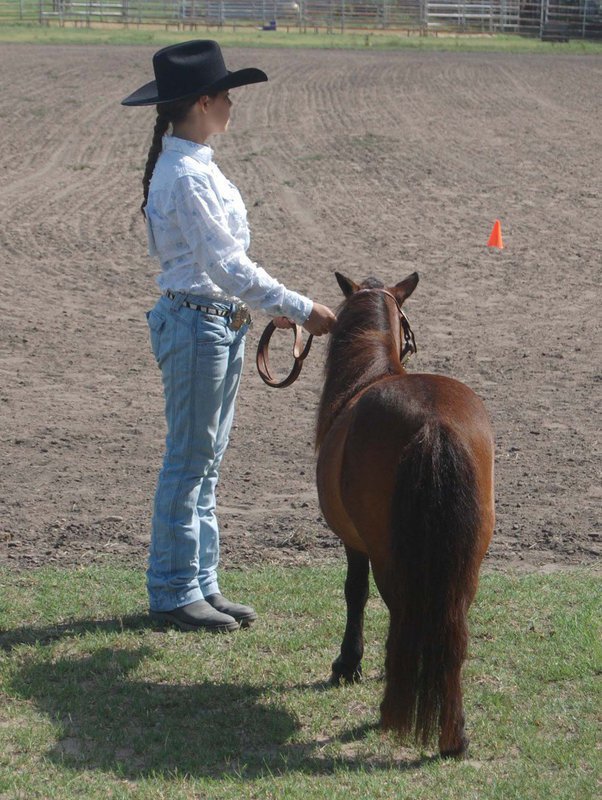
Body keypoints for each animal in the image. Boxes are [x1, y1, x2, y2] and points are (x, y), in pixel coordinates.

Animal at [315, 271, 495, 758]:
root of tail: (434, 423)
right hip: (467, 559)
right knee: (451, 627)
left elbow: (354, 593)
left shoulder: (354, 543)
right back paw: (453, 734)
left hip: (390, 557)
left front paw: (348, 663)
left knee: (404, 616)